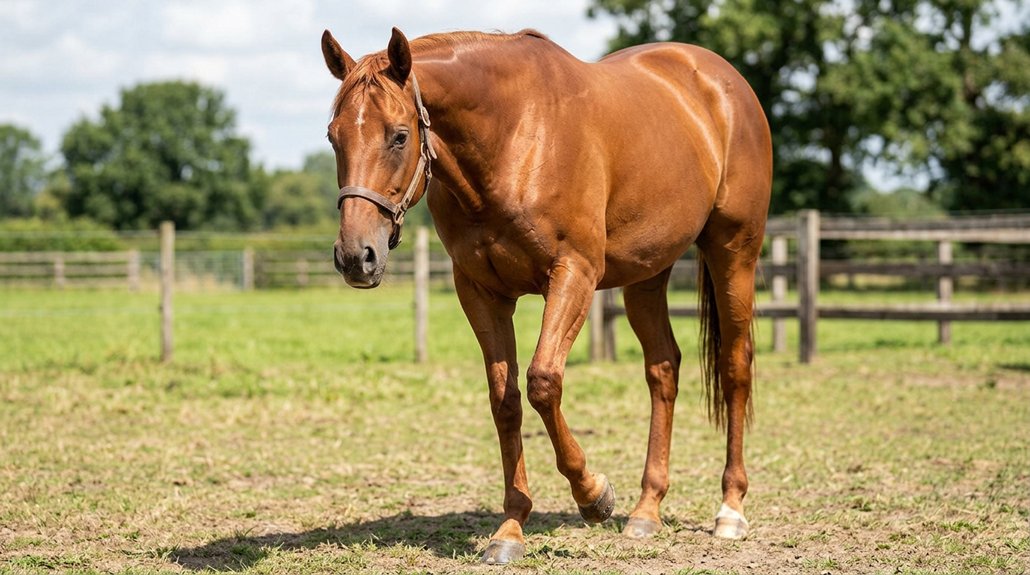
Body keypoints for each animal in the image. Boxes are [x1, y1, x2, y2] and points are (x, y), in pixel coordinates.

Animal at [322, 27, 771, 565]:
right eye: (333, 136)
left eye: (399, 135)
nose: (355, 257)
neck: (512, 137)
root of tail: (723, 82)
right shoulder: (480, 291)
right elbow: (505, 400)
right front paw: (511, 527)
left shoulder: (574, 273)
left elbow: (542, 382)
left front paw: (594, 495)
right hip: (648, 274)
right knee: (663, 369)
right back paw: (646, 510)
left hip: (734, 252)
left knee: (735, 366)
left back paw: (731, 510)